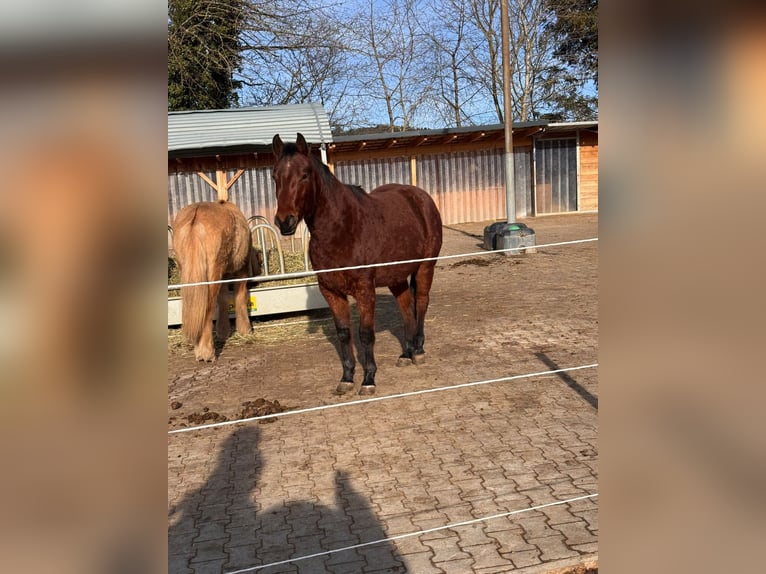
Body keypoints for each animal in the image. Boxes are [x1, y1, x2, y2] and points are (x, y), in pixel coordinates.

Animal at [172, 200, 257, 361]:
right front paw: (245, 329)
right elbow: (240, 297)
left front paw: (223, 331)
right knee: (208, 307)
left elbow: (223, 299)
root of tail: (196, 217)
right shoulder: (241, 269)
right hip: (213, 271)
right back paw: (206, 352)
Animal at [272, 133, 443, 395]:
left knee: (421, 303)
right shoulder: (331, 291)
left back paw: (419, 351)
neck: (342, 229)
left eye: (304, 174)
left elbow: (365, 334)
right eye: (274, 176)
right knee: (406, 307)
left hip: (425, 267)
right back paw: (406, 352)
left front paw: (369, 379)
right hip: (396, 277)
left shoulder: (364, 290)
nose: (284, 221)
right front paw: (347, 377)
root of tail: (421, 198)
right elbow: (344, 334)